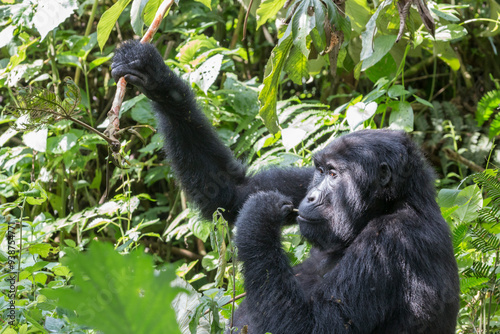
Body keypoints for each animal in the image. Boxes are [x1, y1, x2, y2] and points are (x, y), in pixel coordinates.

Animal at [111, 41, 458, 334]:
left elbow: (315, 327)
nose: (312, 197)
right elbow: (231, 191)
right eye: (321, 171)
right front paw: (154, 76)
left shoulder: (390, 242)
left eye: (336, 175)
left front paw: (259, 217)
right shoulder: (302, 180)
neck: (388, 205)